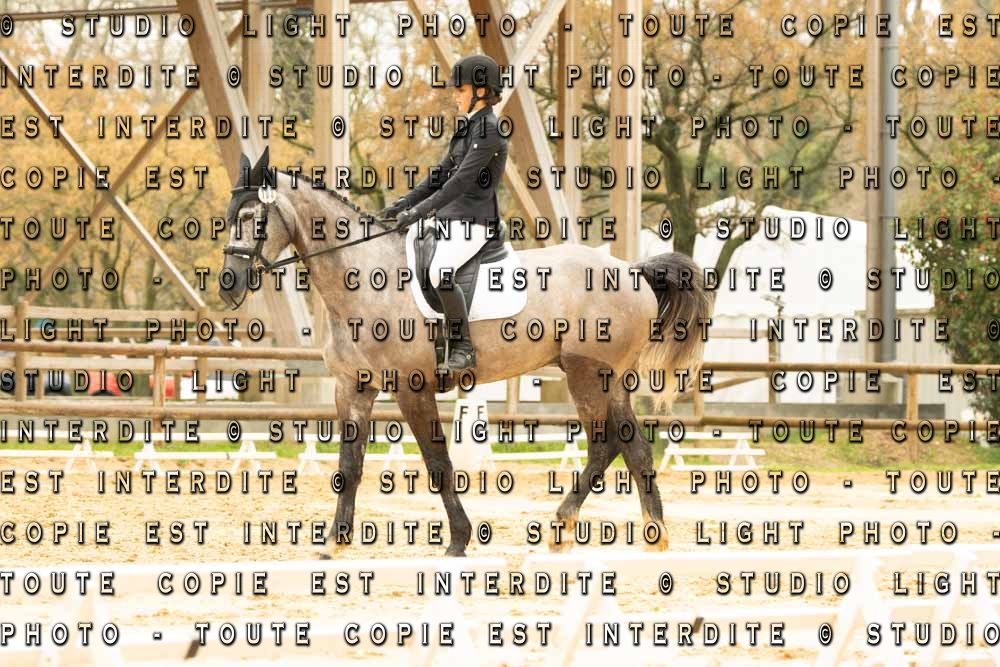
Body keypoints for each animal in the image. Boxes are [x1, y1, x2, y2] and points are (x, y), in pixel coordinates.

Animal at [220, 148, 713, 557]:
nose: (229, 285)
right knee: (631, 447)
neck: (362, 277)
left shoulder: (411, 387)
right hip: (610, 380)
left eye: (254, 217)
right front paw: (335, 543)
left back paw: (565, 528)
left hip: (585, 374)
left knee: (601, 445)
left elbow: (437, 462)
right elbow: (350, 465)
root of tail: (633, 270)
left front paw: (458, 540)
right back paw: (650, 535)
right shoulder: (353, 389)